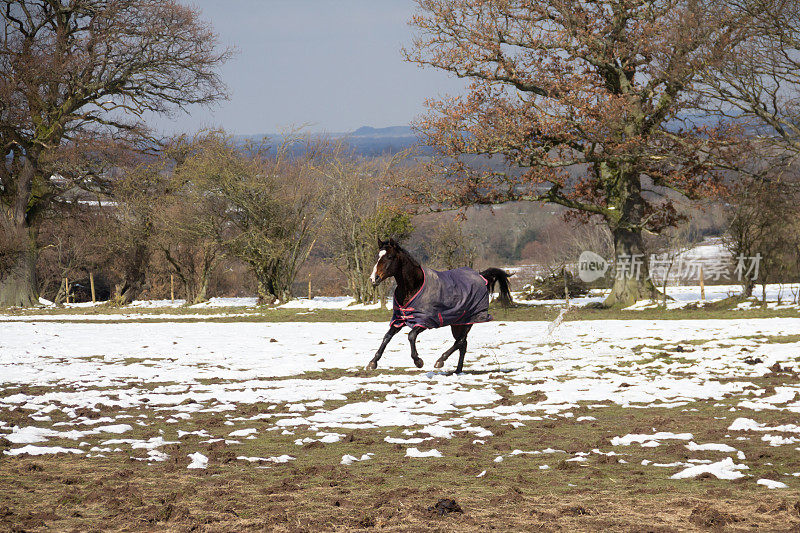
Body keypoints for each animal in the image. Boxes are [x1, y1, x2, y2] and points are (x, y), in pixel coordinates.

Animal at [368, 239, 512, 372]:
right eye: (378, 256)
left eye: (390, 256)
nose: (374, 279)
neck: (414, 286)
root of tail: (481, 277)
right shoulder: (399, 320)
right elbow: (387, 337)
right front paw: (373, 362)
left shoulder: (425, 321)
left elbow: (411, 336)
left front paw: (418, 361)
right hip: (457, 323)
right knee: (463, 344)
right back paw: (458, 370)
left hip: (469, 320)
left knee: (460, 342)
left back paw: (440, 361)